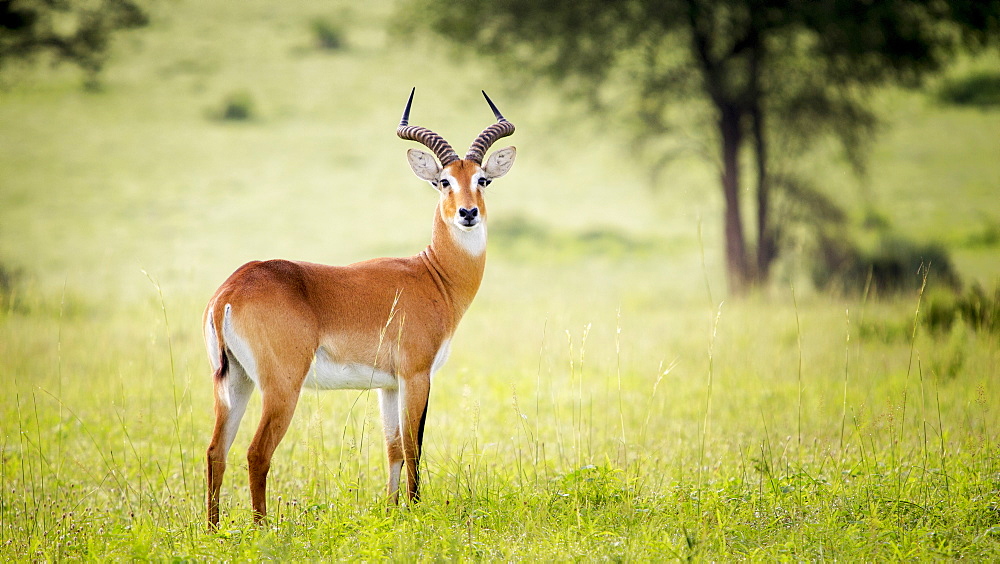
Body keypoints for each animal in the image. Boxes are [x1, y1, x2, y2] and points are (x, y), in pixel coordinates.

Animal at [203, 87, 516, 524]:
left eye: (482, 179)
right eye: (444, 181)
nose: (467, 213)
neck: (432, 275)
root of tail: (230, 292)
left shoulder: (388, 384)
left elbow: (393, 448)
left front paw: (392, 510)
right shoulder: (416, 376)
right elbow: (414, 445)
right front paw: (415, 509)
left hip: (235, 381)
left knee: (216, 451)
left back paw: (214, 530)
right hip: (281, 387)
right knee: (256, 453)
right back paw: (262, 528)